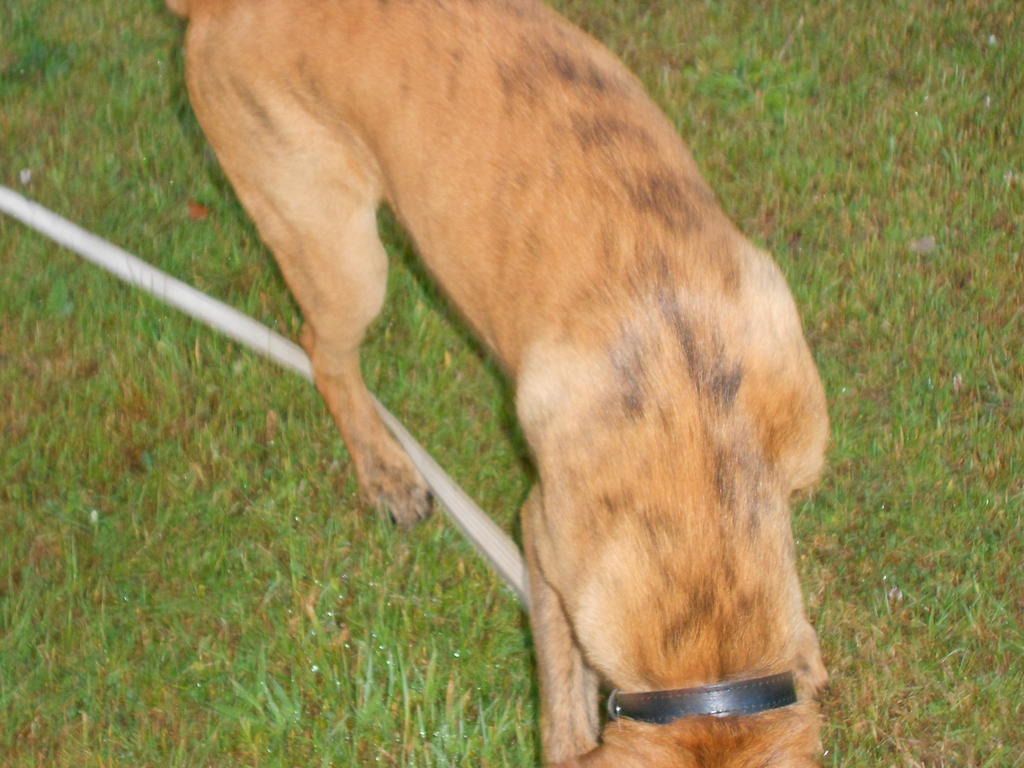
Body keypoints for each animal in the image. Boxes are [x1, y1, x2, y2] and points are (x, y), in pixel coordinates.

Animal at [166, 0, 830, 764]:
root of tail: (216, 7)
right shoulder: (542, 534)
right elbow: (563, 697)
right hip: (340, 247)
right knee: (324, 356)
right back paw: (387, 472)